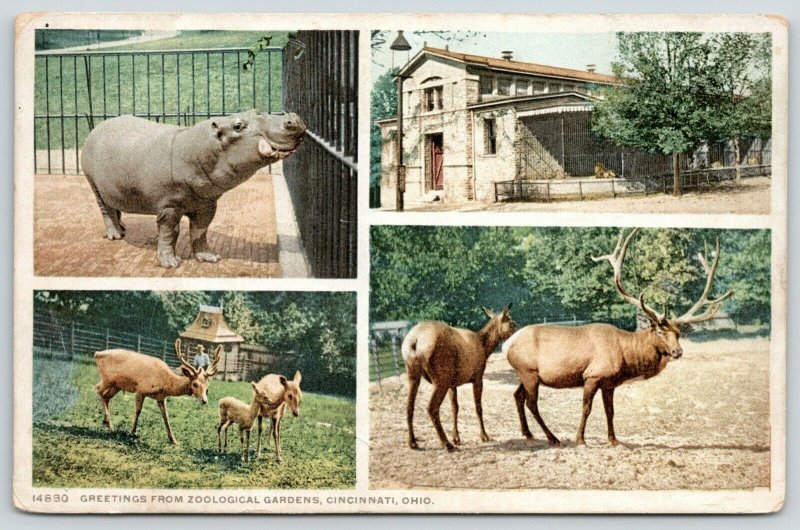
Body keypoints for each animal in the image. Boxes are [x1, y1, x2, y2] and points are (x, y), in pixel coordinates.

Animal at [400, 306, 520, 450]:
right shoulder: (478, 376)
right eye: (512, 324)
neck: (485, 348)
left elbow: (455, 408)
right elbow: (478, 407)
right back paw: (446, 444)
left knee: (409, 406)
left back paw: (412, 442)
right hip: (441, 379)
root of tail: (414, 342)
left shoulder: (453, 384)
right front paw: (484, 436)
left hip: (413, 374)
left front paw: (456, 437)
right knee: (431, 407)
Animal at [506, 227, 732, 446]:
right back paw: (552, 437)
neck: (625, 357)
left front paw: (614, 440)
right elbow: (586, 408)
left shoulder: (609, 383)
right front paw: (581, 439)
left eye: (678, 333)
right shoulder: (592, 375)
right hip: (528, 371)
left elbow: (610, 411)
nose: (678, 351)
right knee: (531, 402)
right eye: (660, 331)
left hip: (525, 373)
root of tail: (507, 343)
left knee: (518, 395)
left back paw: (528, 433)